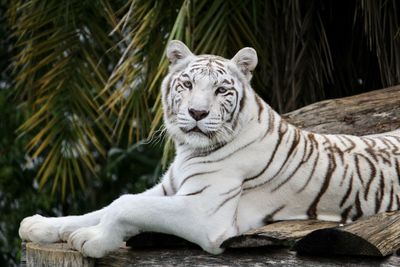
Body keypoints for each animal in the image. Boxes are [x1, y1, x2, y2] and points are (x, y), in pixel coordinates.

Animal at [18, 40, 400, 258]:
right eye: (187, 84)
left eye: (221, 90)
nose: (197, 113)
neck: (188, 150)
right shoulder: (167, 189)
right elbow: (108, 204)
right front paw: (41, 226)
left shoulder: (204, 212)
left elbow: (125, 204)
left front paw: (91, 240)